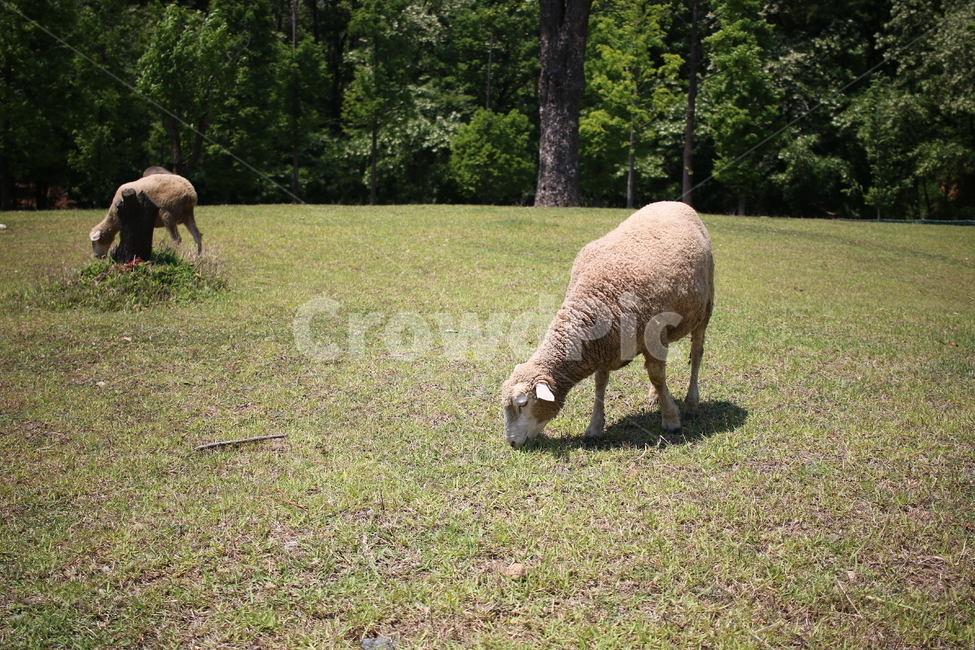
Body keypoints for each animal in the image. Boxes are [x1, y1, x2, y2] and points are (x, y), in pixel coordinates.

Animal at [501, 201, 714, 449]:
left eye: (523, 404)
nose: (512, 443)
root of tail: (675, 203)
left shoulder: (651, 335)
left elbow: (656, 375)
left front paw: (671, 420)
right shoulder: (605, 344)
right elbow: (601, 383)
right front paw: (594, 427)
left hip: (705, 307)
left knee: (696, 355)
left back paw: (691, 404)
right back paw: (655, 396)